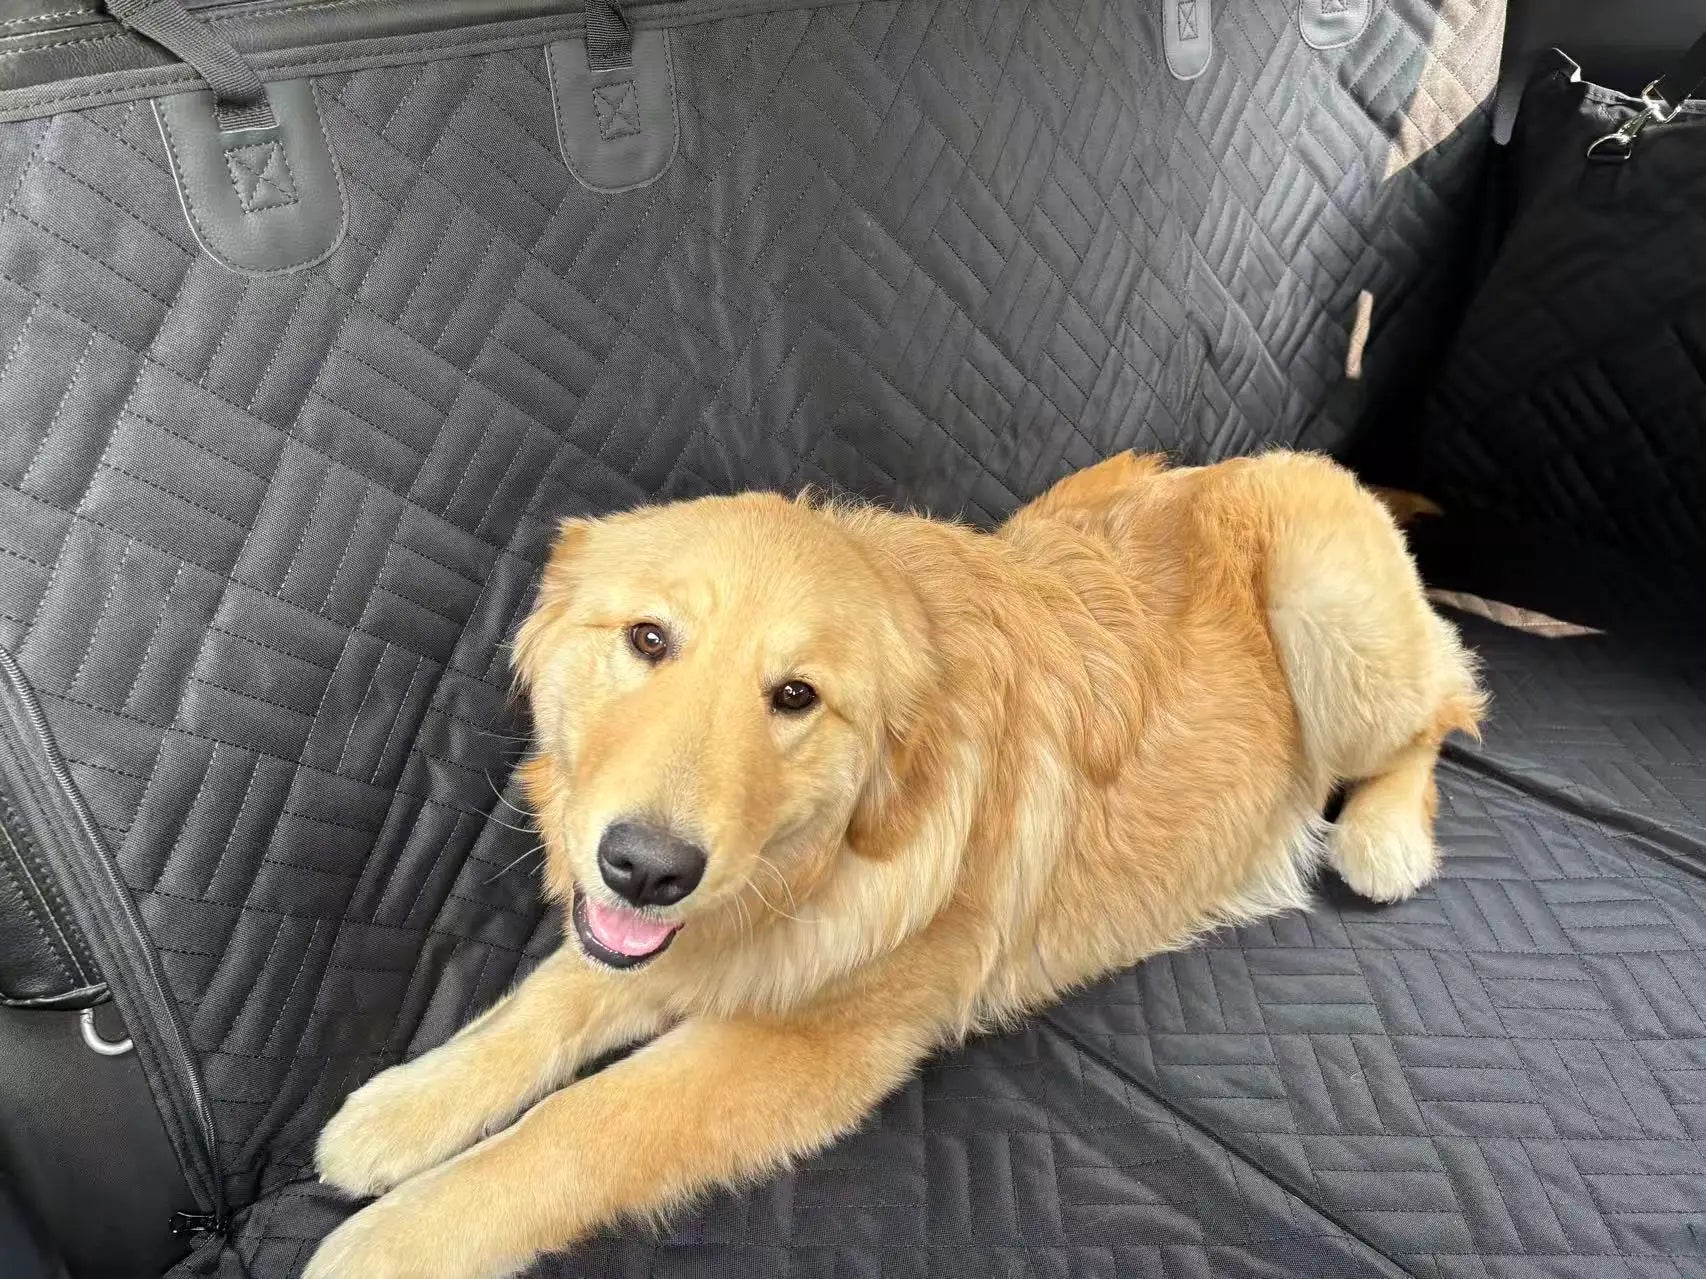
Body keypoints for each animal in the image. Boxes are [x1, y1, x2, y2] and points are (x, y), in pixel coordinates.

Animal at [308, 451, 1483, 1278]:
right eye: (646, 639)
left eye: (795, 696)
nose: (646, 868)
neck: (820, 861)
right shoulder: (666, 942)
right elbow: (546, 1002)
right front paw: (404, 1105)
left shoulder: (811, 1048)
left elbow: (578, 1126)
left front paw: (399, 1237)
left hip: (1332, 622)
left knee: (1445, 707)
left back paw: (1381, 836)